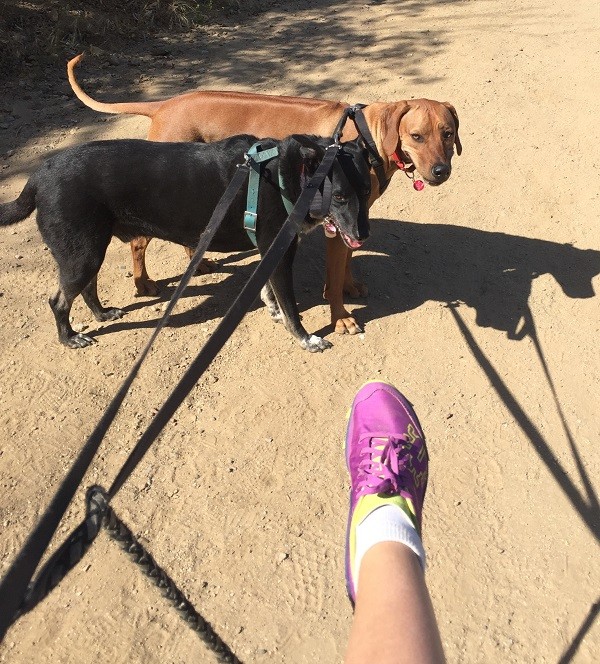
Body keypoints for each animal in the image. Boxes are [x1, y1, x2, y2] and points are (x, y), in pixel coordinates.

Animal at [0, 136, 370, 352]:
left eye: (367, 190)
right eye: (339, 196)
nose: (363, 235)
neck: (292, 173)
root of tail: (38, 176)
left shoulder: (270, 253)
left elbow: (270, 293)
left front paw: (274, 310)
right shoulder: (279, 253)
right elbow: (292, 308)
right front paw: (306, 338)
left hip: (90, 250)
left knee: (88, 288)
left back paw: (102, 313)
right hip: (81, 255)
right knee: (59, 300)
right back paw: (69, 337)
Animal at [68, 52, 462, 334]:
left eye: (447, 133)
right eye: (416, 136)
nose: (441, 172)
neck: (367, 135)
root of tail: (165, 104)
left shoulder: (353, 219)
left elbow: (348, 261)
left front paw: (351, 285)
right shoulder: (337, 222)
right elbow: (333, 279)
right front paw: (341, 317)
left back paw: (200, 261)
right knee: (138, 242)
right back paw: (144, 282)